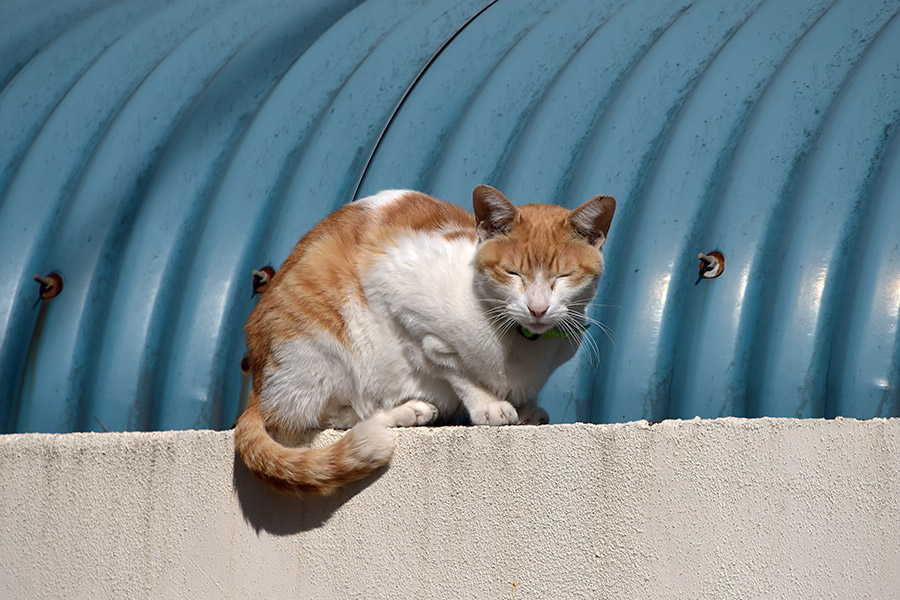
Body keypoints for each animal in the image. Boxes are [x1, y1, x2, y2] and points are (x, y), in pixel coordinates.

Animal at [234, 185, 612, 494]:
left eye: (563, 276)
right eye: (512, 273)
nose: (537, 308)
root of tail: (256, 387)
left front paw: (525, 409)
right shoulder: (406, 305)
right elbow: (456, 369)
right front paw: (488, 405)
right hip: (319, 347)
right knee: (330, 415)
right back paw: (407, 411)